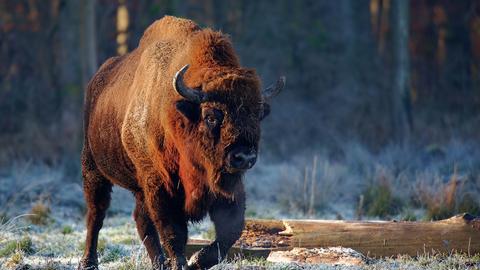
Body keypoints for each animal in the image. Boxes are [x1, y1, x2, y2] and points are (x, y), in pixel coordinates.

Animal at [79, 16, 284, 270]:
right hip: (93, 168)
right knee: (96, 214)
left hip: (138, 187)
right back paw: (88, 262)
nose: (243, 157)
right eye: (211, 116)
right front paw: (181, 263)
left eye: (257, 115)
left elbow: (230, 231)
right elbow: (173, 233)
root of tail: (97, 81)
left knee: (141, 221)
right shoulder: (161, 185)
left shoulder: (229, 188)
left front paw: (196, 261)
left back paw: (159, 263)